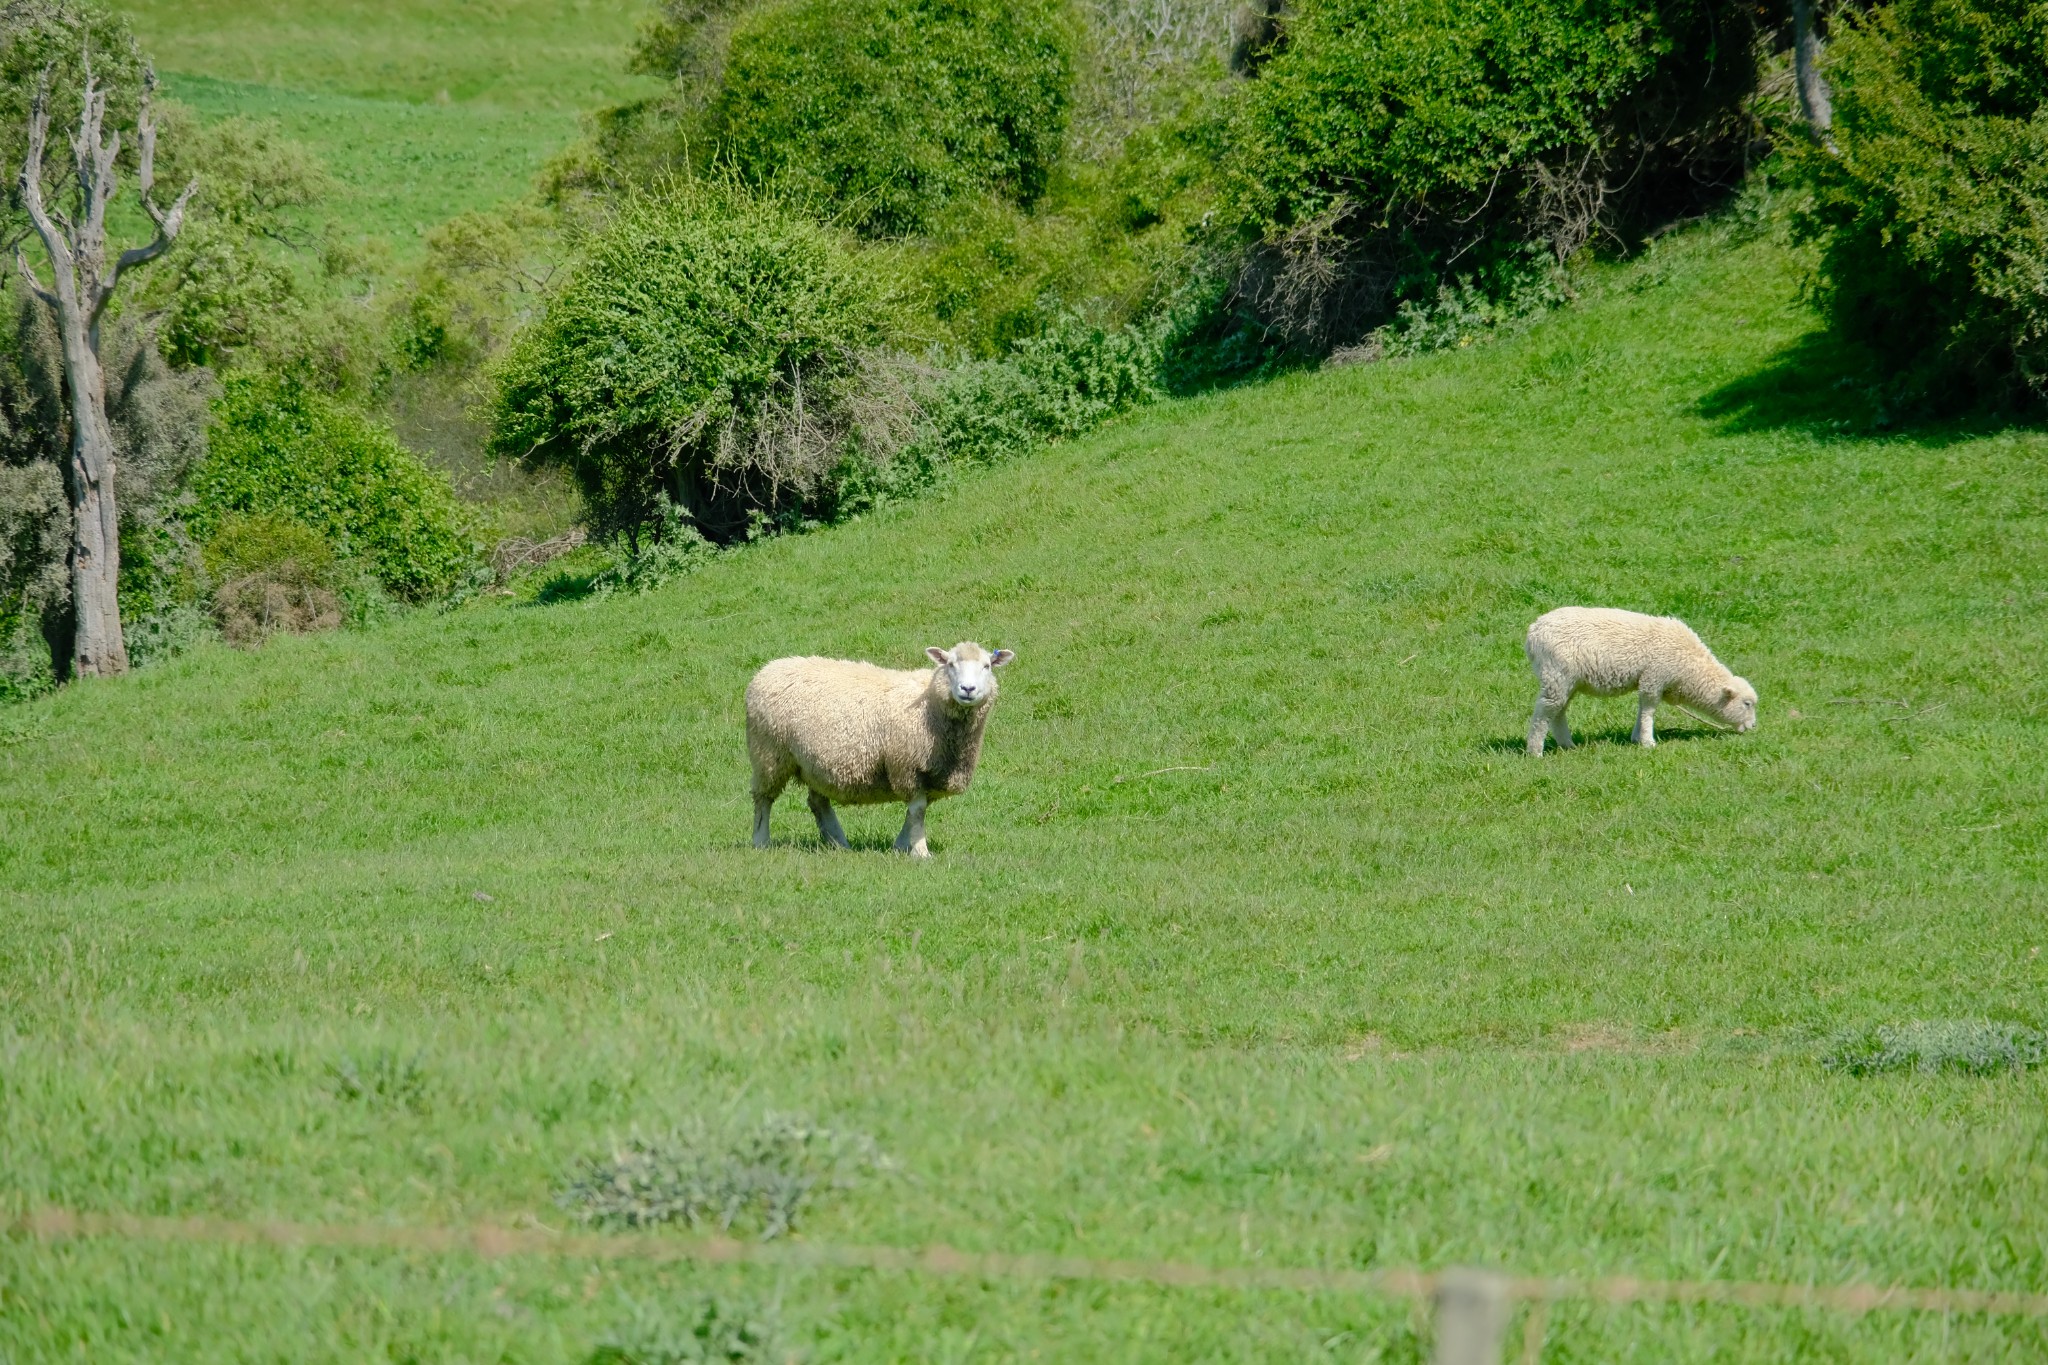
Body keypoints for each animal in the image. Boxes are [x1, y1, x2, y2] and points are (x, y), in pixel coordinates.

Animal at [745, 646, 1015, 859]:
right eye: (950, 664)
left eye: (987, 666)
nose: (967, 689)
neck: (930, 705)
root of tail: (767, 669)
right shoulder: (907, 765)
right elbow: (918, 810)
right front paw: (920, 851)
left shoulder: (933, 773)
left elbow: (917, 811)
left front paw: (902, 846)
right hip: (769, 753)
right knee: (763, 799)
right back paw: (761, 841)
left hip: (815, 763)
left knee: (818, 802)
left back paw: (838, 843)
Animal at [1523, 609, 1761, 757]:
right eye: (1747, 704)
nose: (1753, 726)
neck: (1691, 668)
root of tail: (1533, 631)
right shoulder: (1654, 677)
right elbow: (1649, 709)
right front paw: (1648, 741)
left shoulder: (1650, 681)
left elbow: (1643, 708)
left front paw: (1637, 737)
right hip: (1557, 675)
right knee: (1545, 712)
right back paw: (1535, 751)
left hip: (1568, 681)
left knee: (1559, 711)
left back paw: (1567, 745)